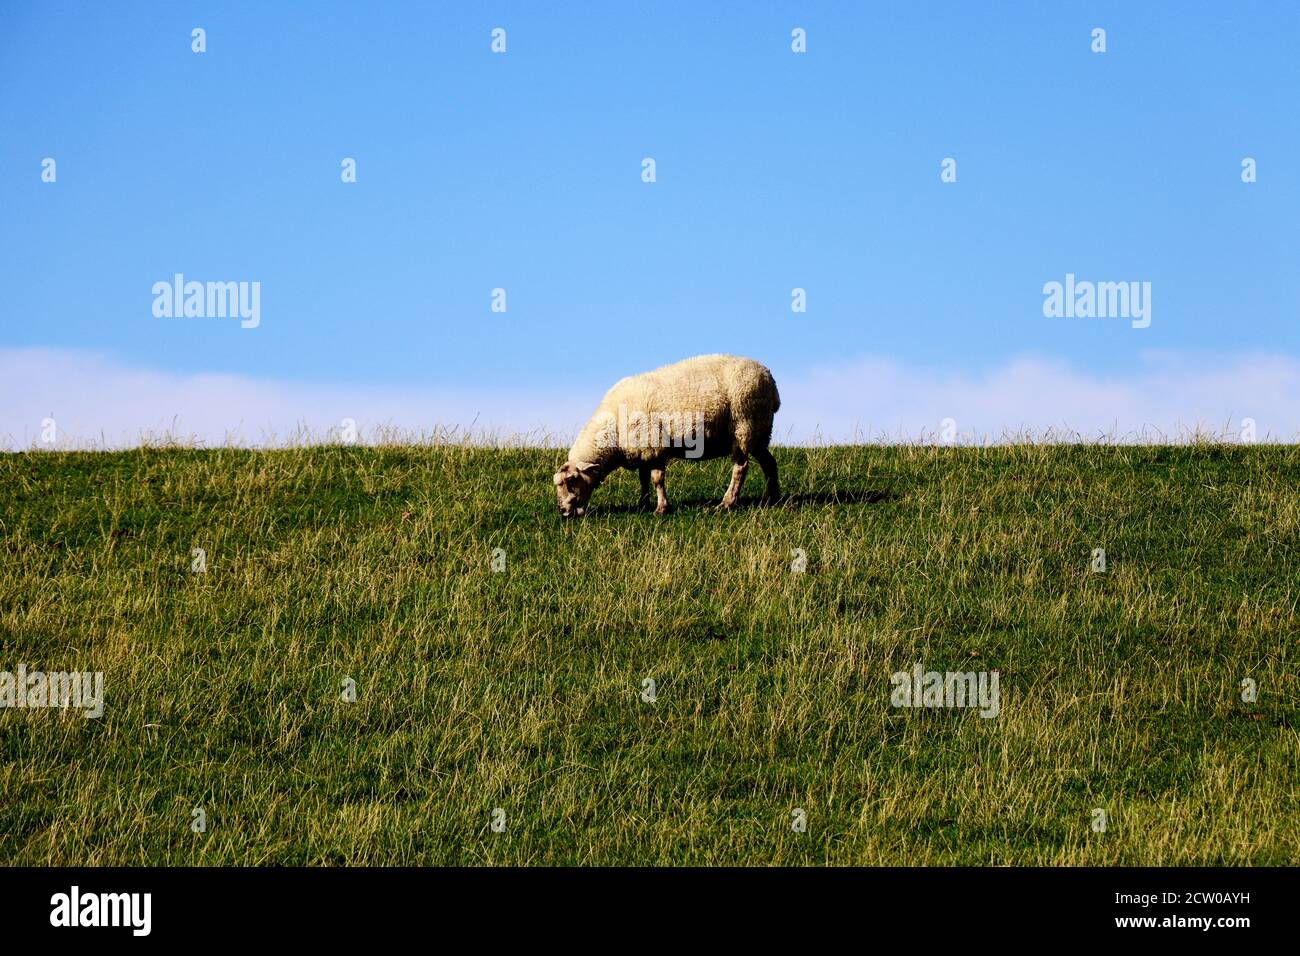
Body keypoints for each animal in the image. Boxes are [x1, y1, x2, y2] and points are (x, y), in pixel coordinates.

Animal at [553, 354, 781, 517]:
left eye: (571, 481)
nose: (563, 512)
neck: (613, 433)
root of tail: (769, 377)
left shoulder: (655, 446)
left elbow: (656, 479)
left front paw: (661, 508)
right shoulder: (642, 451)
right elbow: (643, 478)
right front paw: (643, 504)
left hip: (743, 426)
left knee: (741, 468)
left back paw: (727, 503)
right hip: (759, 432)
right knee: (769, 463)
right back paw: (773, 499)